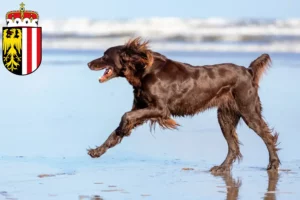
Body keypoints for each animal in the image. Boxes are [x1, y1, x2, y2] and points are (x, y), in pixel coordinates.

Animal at [86, 37, 278, 172]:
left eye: (105, 56)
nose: (88, 63)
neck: (144, 71)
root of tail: (248, 71)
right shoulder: (142, 107)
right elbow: (120, 126)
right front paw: (98, 150)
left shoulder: (160, 109)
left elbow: (126, 115)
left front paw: (123, 129)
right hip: (225, 117)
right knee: (233, 146)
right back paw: (222, 168)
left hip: (248, 110)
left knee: (267, 137)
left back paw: (273, 164)